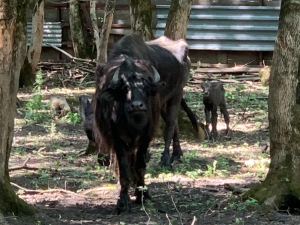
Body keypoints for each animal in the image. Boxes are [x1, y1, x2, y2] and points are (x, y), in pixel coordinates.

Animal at [94, 55, 164, 214]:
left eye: (146, 88)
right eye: (125, 89)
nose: (137, 105)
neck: (134, 124)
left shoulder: (146, 138)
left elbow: (140, 166)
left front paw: (142, 194)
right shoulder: (117, 140)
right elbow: (123, 169)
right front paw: (123, 201)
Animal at [108, 33, 204, 167]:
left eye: (145, 88)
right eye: (124, 88)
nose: (136, 105)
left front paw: (145, 155)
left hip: (177, 94)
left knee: (170, 124)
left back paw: (166, 159)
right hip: (164, 102)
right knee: (174, 123)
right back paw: (177, 154)